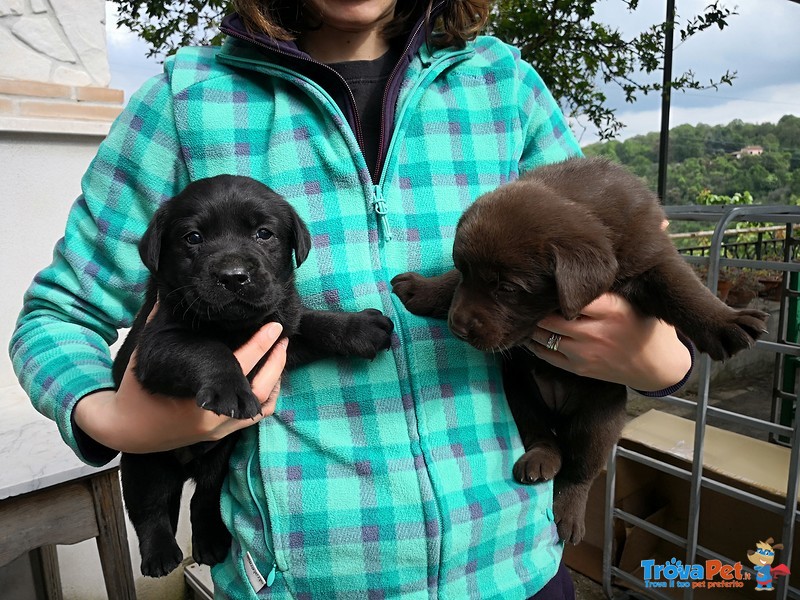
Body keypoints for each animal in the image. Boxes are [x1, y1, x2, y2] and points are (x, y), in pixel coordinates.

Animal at [114, 176, 396, 580]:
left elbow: (314, 322)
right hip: (144, 457)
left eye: (264, 233)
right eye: (193, 238)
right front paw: (231, 389)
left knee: (204, 499)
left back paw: (211, 542)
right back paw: (160, 555)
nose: (233, 277)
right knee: (149, 506)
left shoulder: (281, 331)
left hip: (218, 460)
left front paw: (359, 327)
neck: (234, 326)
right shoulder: (156, 344)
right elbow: (205, 348)